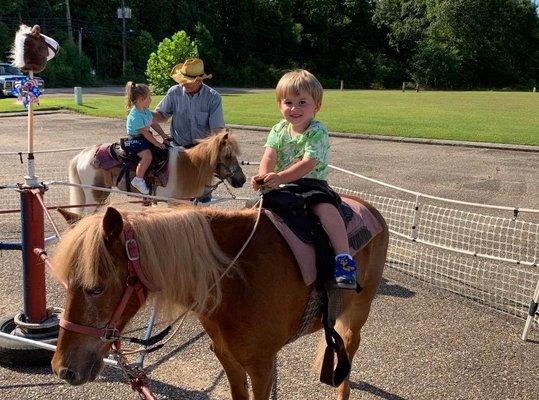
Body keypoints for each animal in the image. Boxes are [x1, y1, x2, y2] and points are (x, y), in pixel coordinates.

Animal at [50, 203, 388, 400]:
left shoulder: (262, 366)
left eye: (96, 288)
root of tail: (370, 208)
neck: (236, 278)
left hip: (358, 314)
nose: (62, 369)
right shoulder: (228, 359)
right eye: (67, 284)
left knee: (349, 345)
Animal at [67, 132, 247, 214]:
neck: (188, 166)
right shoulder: (174, 203)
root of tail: (82, 155)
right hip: (94, 196)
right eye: (228, 156)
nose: (242, 180)